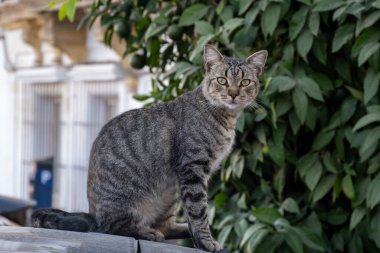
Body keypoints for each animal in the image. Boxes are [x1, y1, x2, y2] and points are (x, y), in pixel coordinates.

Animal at [31, 45, 268, 251]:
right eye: (222, 80)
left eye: (245, 81)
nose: (234, 93)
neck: (226, 118)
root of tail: (93, 213)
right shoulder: (193, 168)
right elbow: (199, 211)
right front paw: (206, 242)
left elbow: (196, 214)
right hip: (129, 200)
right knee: (112, 227)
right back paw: (147, 232)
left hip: (170, 192)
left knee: (165, 225)